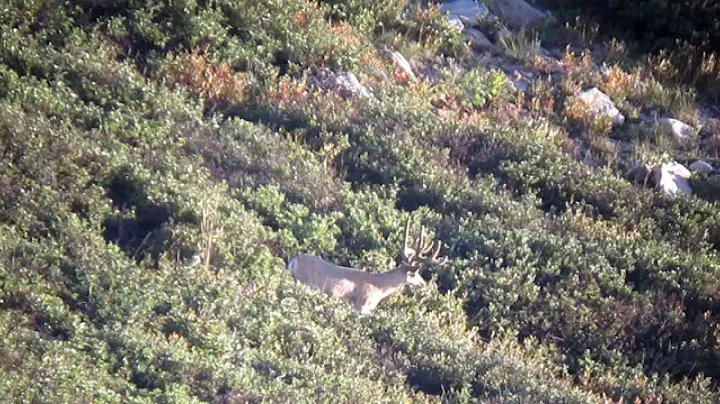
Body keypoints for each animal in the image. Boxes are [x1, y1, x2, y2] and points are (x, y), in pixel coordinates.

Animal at [287, 218, 448, 314]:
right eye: (414, 274)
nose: (422, 283)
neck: (380, 287)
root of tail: (294, 260)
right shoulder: (361, 306)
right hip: (304, 282)